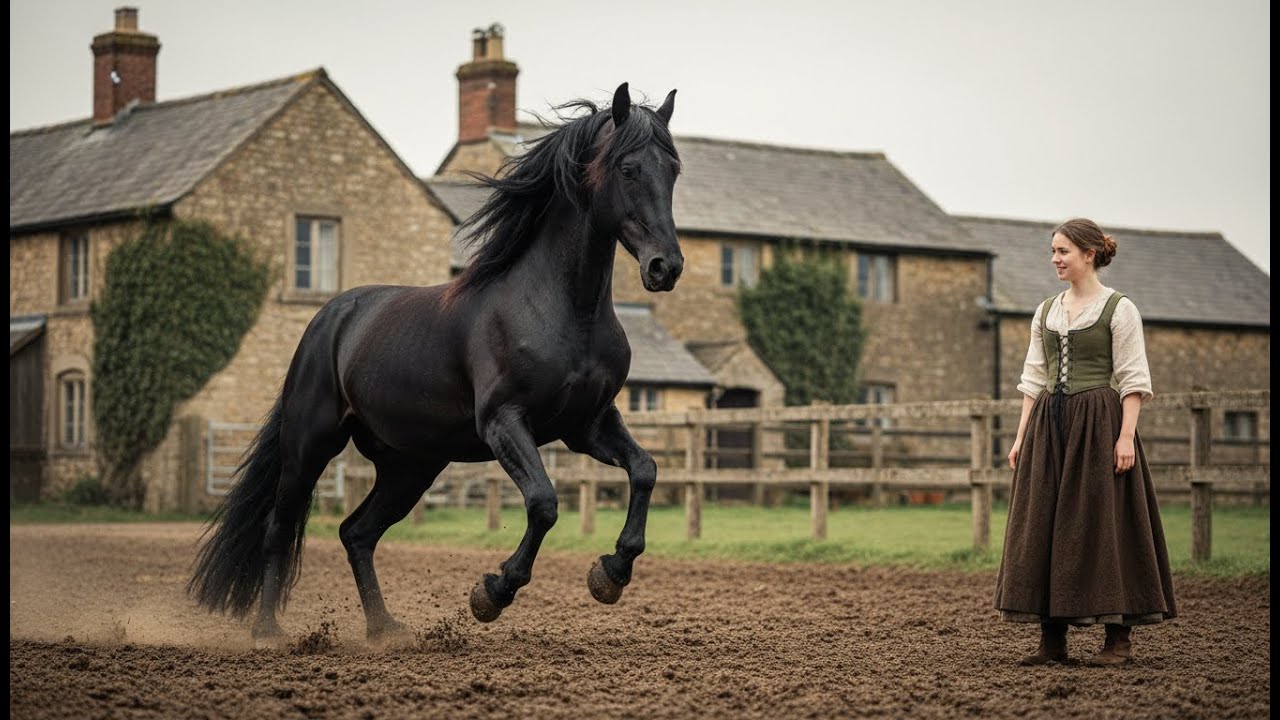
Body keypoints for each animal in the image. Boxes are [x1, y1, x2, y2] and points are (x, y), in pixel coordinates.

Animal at [187, 82, 683, 646]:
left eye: (673, 168)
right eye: (628, 168)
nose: (665, 267)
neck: (564, 309)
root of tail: (330, 318)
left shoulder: (587, 425)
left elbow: (644, 470)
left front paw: (610, 573)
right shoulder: (504, 422)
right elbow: (543, 502)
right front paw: (491, 593)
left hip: (411, 464)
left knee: (356, 533)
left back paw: (385, 629)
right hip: (310, 442)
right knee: (280, 526)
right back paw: (268, 632)